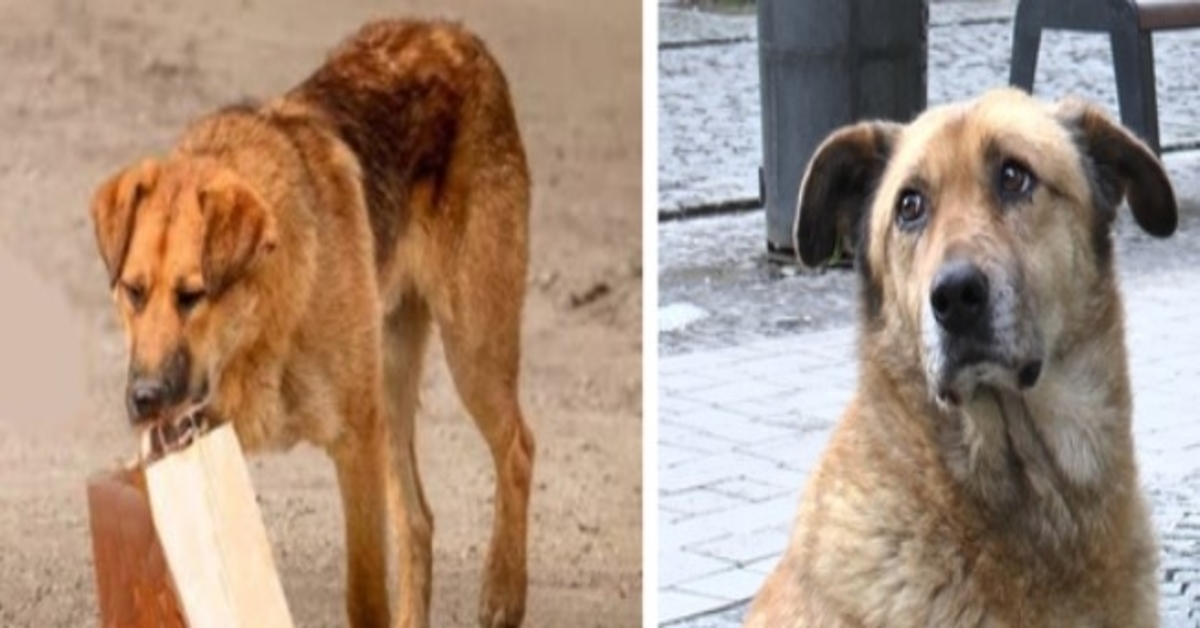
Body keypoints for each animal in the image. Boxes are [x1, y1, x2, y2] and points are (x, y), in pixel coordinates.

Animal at [93, 19, 540, 628]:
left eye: (193, 296)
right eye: (133, 292)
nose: (143, 399)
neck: (262, 323)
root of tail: (457, 35)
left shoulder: (355, 442)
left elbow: (364, 597)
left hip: (471, 353)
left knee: (518, 447)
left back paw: (502, 590)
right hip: (393, 391)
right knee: (418, 520)